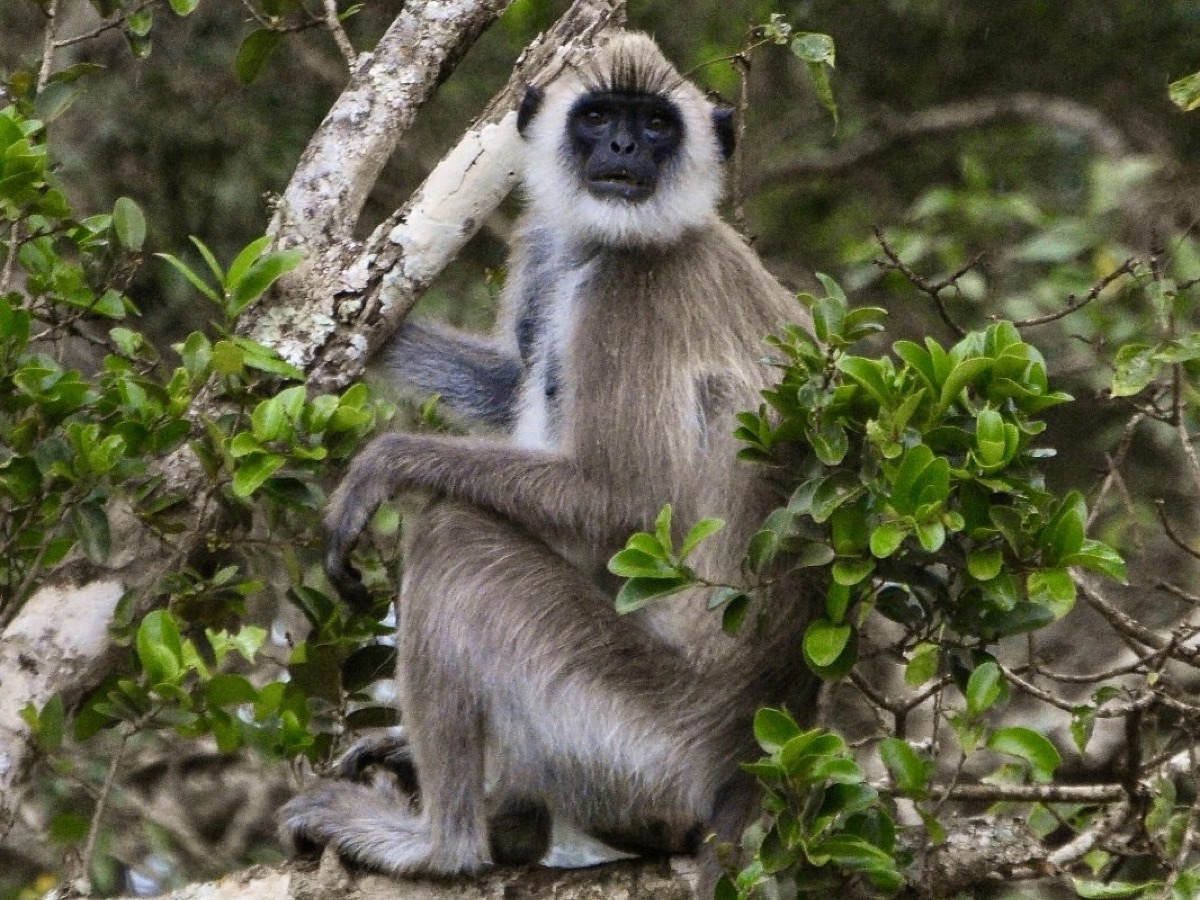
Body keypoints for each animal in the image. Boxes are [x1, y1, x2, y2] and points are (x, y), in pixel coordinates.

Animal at [281, 30, 821, 884]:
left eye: (656, 125)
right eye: (598, 117)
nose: (624, 149)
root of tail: (744, 770)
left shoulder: (635, 290)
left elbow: (624, 500)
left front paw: (379, 464)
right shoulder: (545, 252)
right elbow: (511, 381)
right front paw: (339, 313)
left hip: (632, 735)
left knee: (456, 537)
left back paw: (446, 844)